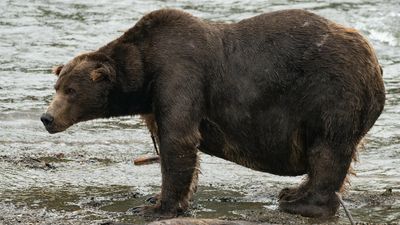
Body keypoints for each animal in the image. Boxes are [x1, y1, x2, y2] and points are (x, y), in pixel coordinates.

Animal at [40, 8, 384, 218]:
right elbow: (170, 145)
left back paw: (301, 203)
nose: (47, 118)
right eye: (57, 85)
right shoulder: (156, 97)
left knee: (327, 150)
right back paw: (293, 191)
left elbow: (178, 140)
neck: (144, 72)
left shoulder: (180, 73)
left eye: (70, 90)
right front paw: (160, 198)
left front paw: (155, 207)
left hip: (330, 91)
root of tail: (375, 62)